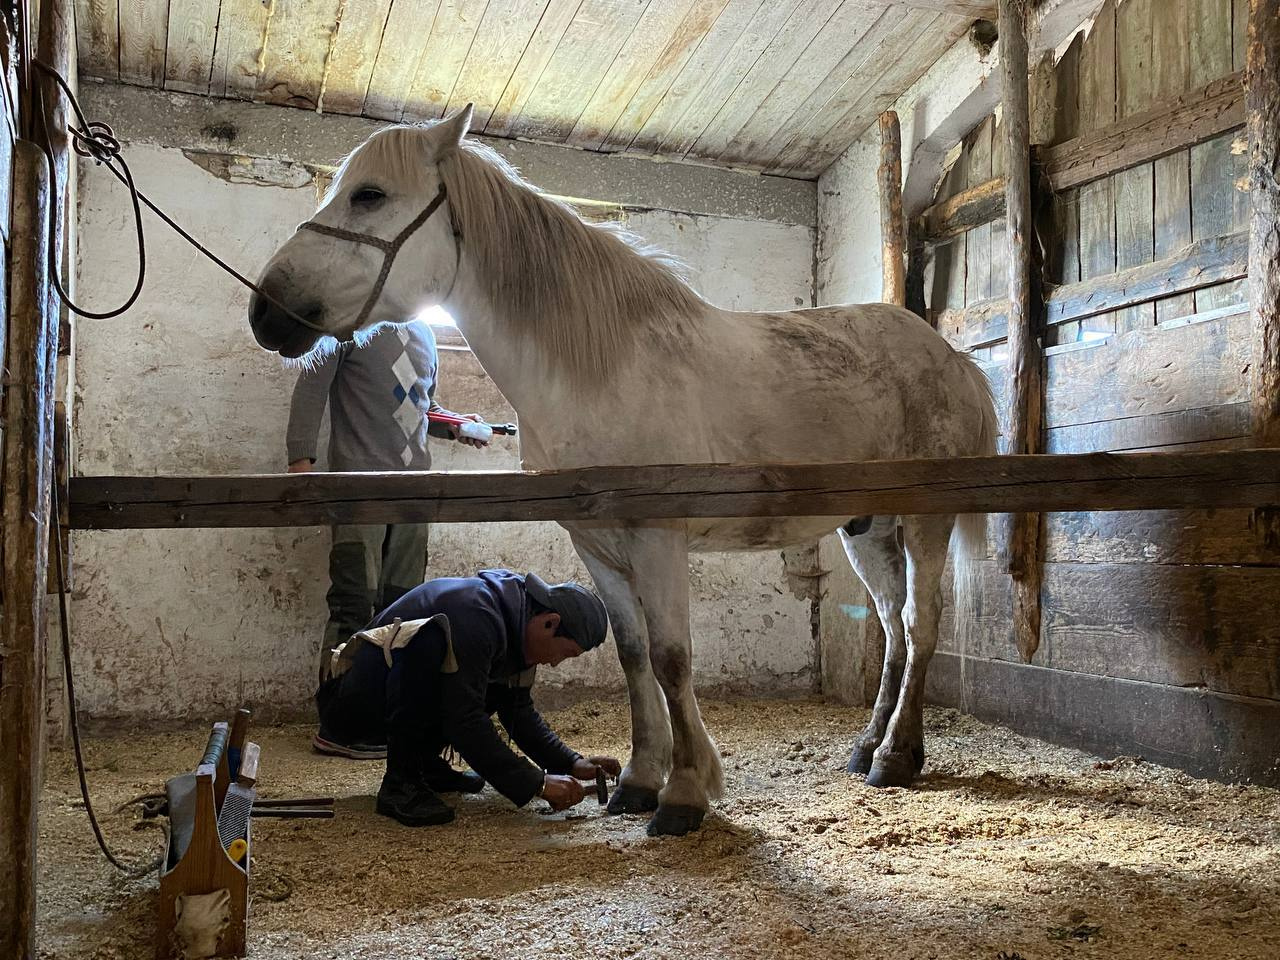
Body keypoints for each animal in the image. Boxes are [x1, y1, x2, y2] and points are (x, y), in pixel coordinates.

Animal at [244, 106, 993, 834]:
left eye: (370, 195)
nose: (265, 310)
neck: (598, 372)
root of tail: (952, 359)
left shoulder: (657, 536)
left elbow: (671, 657)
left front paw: (685, 793)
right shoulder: (596, 543)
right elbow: (634, 653)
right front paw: (637, 781)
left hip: (925, 523)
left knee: (920, 625)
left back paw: (897, 756)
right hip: (865, 529)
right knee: (892, 628)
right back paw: (869, 745)